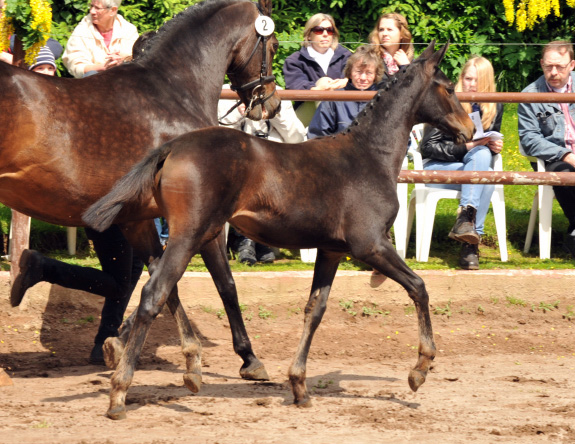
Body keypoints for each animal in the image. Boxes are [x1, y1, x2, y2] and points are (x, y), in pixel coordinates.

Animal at [84, 40, 472, 416]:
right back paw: (120, 392)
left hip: (176, 229)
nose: (469, 130)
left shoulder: (331, 251)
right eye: (450, 88)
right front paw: (420, 369)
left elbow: (315, 310)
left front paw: (299, 385)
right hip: (189, 234)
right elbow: (419, 287)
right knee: (155, 293)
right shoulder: (372, 245)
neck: (369, 156)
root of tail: (171, 146)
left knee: (160, 286)